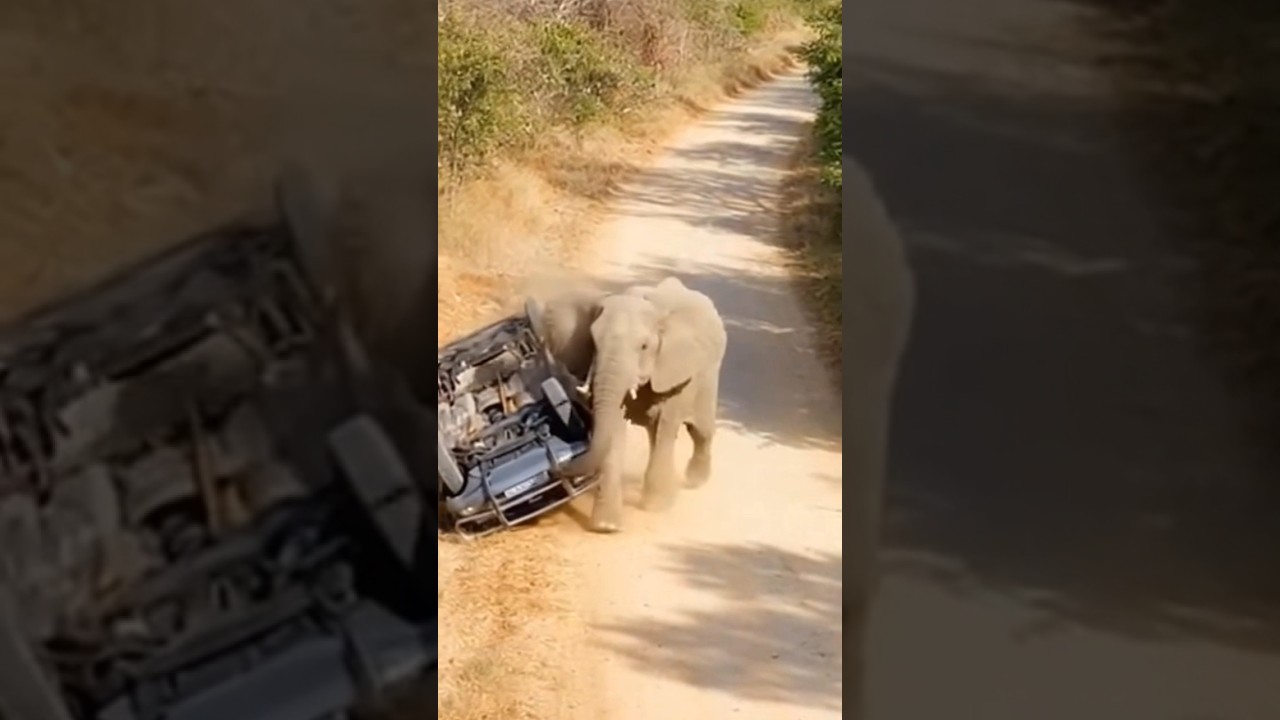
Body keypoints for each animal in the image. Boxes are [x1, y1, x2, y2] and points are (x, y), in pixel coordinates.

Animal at [532, 277, 728, 533]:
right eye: (593, 343)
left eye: (644, 347)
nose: (554, 466)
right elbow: (613, 431)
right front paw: (606, 526)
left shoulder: (673, 368)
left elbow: (666, 425)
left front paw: (657, 507)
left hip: (707, 376)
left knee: (700, 429)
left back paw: (694, 481)